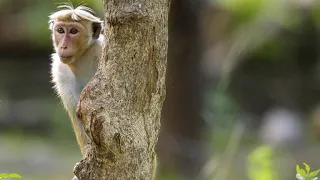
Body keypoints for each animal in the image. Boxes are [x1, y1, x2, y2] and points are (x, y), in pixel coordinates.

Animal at [48, 4, 102, 155]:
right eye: (60, 30)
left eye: (73, 31)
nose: (63, 46)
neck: (81, 59)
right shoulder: (60, 72)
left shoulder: (100, 49)